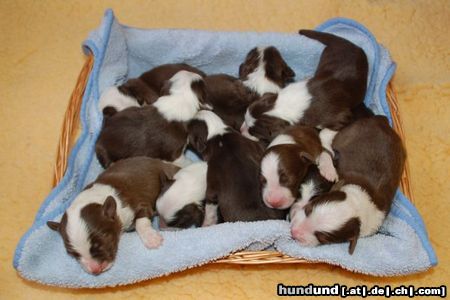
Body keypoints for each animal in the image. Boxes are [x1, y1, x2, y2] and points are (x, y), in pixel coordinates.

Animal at [46, 158, 179, 276]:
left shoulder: (141, 205)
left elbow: (140, 222)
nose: (95, 270)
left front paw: (151, 238)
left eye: (102, 241)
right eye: (73, 254)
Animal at [290, 116, 406, 254]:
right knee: (326, 140)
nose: (294, 232)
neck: (358, 201)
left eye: (322, 238)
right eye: (308, 209)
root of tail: (382, 120)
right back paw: (328, 169)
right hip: (347, 133)